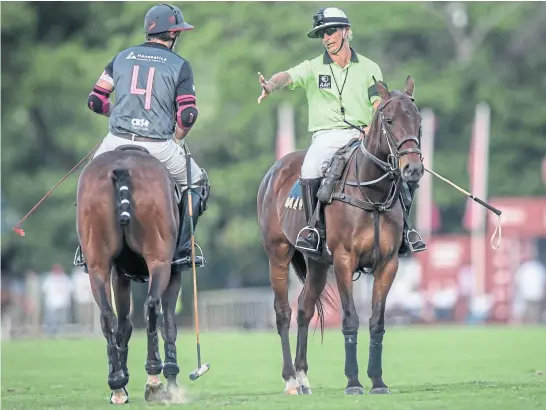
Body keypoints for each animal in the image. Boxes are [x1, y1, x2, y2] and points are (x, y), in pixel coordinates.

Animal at [76, 144, 193, 404]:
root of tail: (123, 168)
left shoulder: (119, 274)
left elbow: (124, 324)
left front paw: (122, 381)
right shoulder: (175, 269)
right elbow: (169, 324)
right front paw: (171, 380)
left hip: (98, 262)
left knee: (107, 315)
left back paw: (117, 384)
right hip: (160, 259)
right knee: (152, 307)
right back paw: (154, 379)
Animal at [258, 76, 422, 394]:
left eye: (418, 120)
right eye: (389, 120)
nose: (413, 169)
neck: (373, 193)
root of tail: (275, 169)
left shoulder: (388, 264)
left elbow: (377, 322)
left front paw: (378, 381)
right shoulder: (345, 261)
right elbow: (350, 319)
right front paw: (354, 382)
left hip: (318, 263)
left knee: (304, 308)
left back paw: (303, 377)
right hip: (278, 253)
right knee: (283, 312)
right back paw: (290, 379)